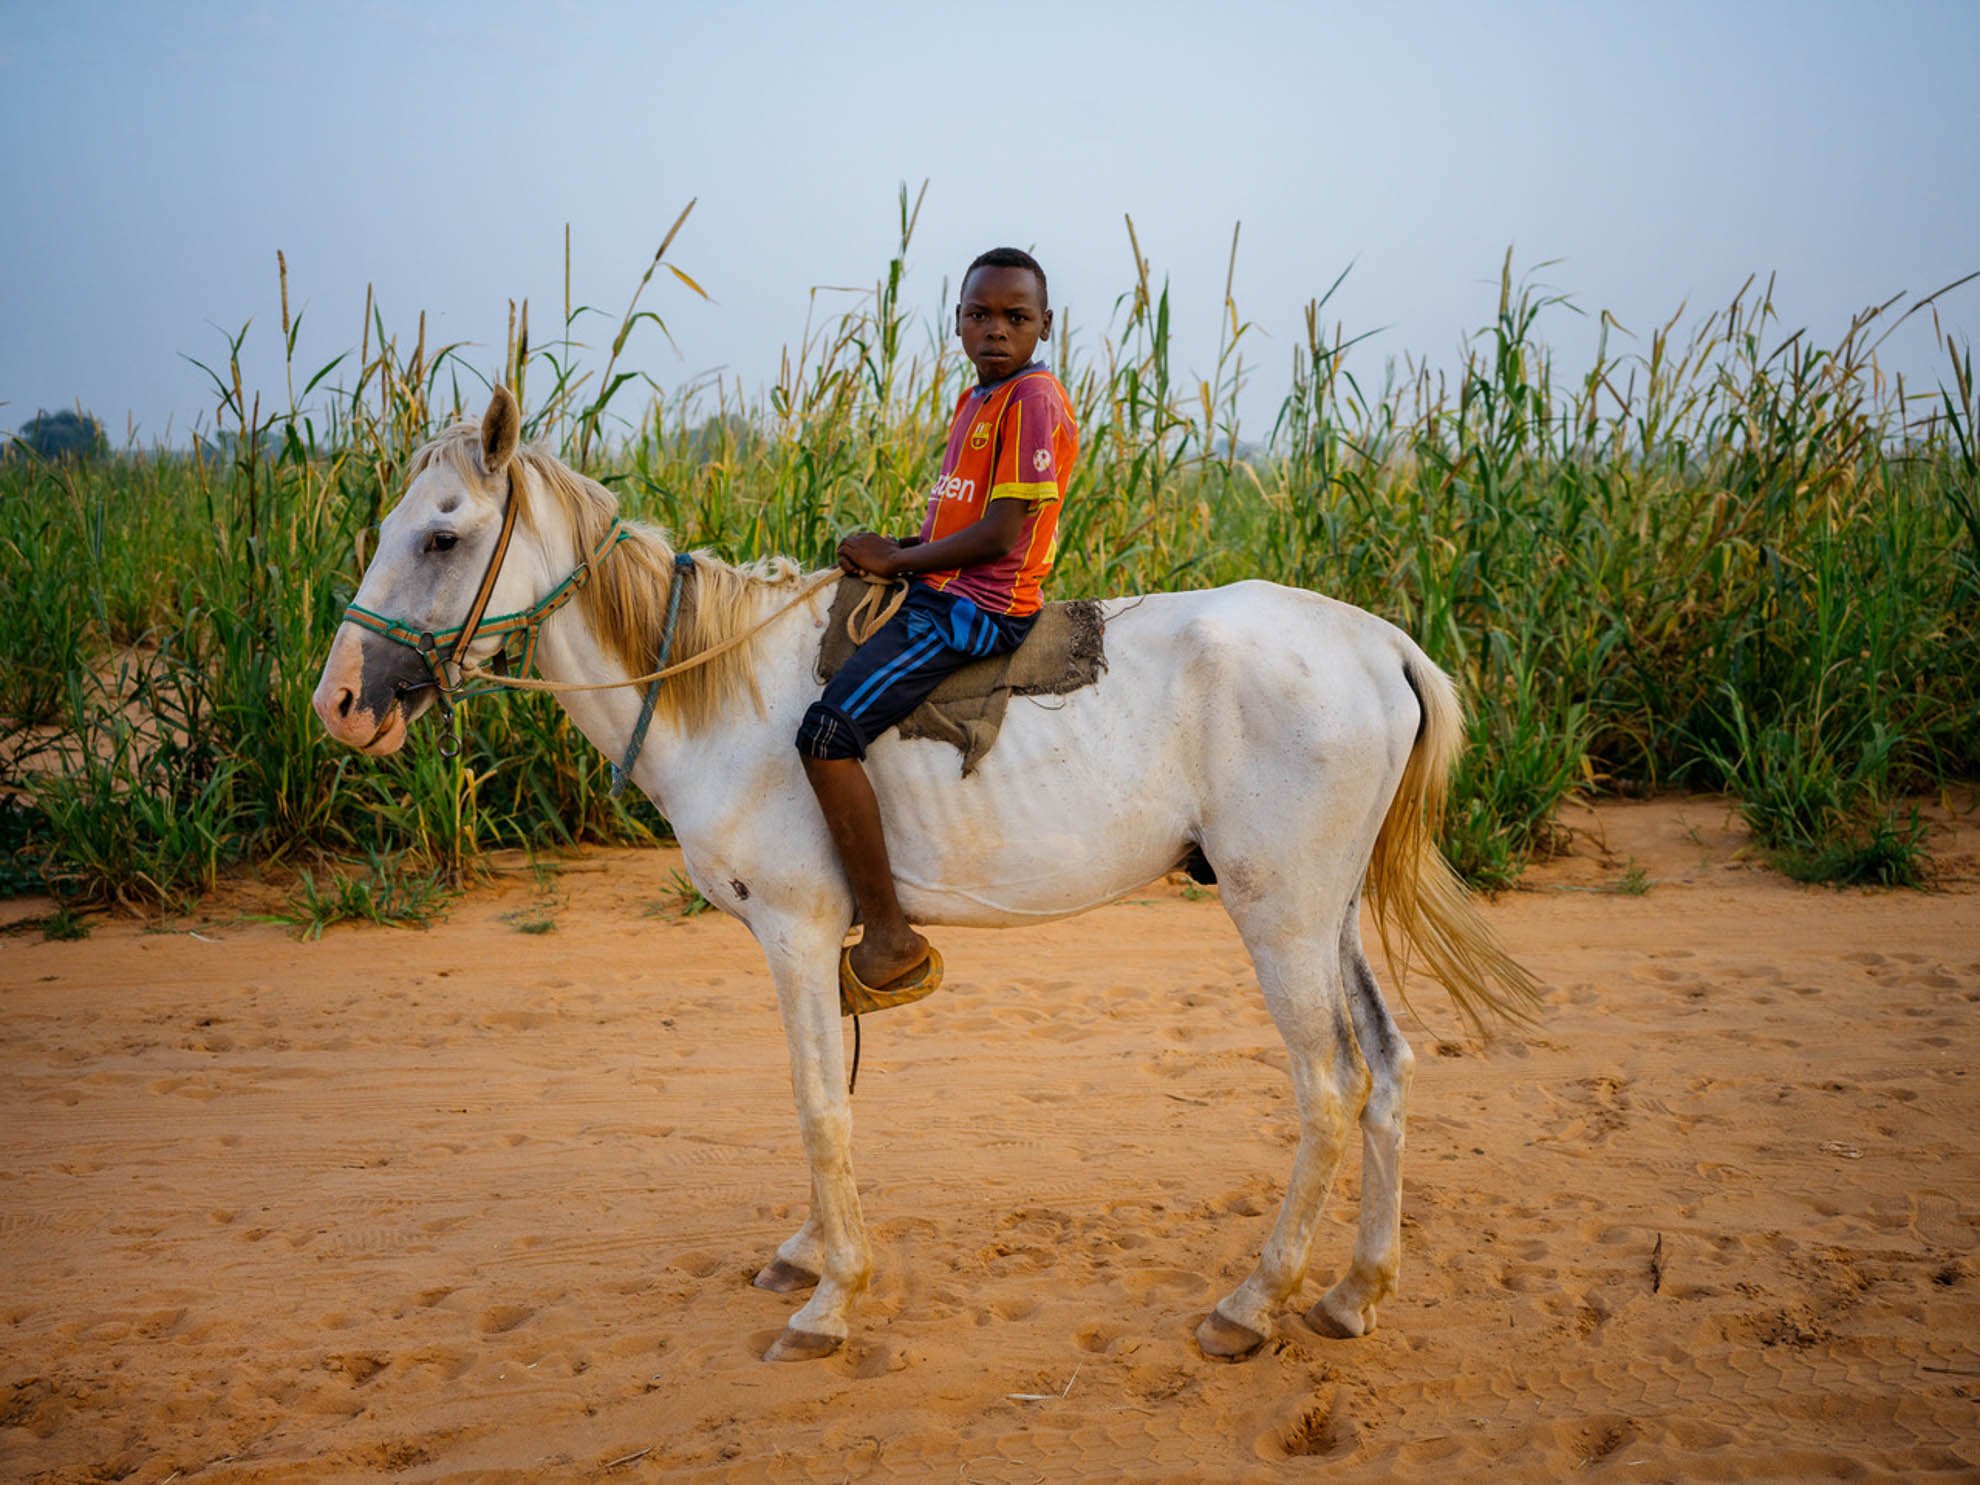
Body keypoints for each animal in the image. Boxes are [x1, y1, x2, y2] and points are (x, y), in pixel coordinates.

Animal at [312, 390, 1544, 1370]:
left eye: (442, 536)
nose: (339, 704)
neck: (720, 688)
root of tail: (1377, 642)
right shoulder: (809, 945)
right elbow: (831, 1094)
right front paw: (810, 1253)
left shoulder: (799, 932)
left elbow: (817, 1102)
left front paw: (830, 1299)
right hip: (1328, 911)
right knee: (1388, 1070)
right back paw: (1352, 1292)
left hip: (1278, 912)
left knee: (1330, 1088)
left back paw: (1253, 1303)